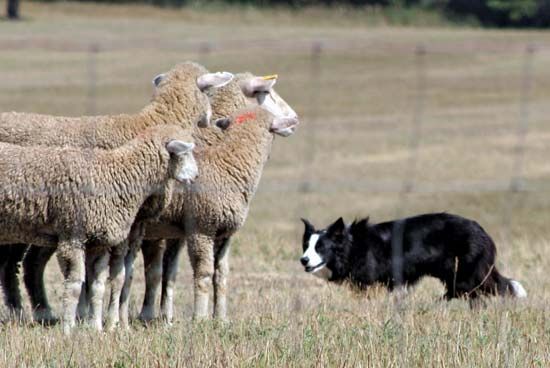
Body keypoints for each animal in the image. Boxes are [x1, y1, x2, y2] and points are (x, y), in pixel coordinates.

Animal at [304, 214, 528, 300]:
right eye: (306, 246)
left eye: (320, 247)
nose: (303, 260)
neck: (352, 246)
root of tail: (482, 232)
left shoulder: (371, 283)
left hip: (466, 273)